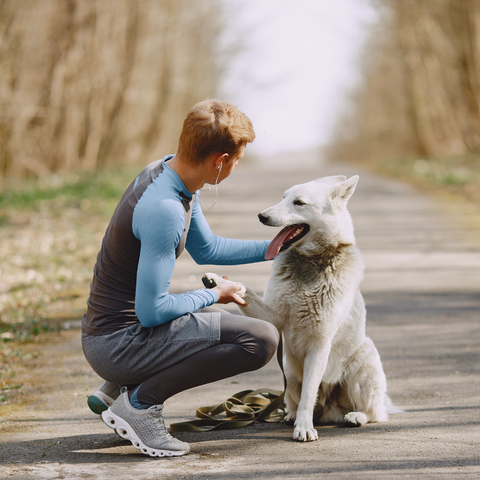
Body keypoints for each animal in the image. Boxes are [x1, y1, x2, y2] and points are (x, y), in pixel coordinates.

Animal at [204, 175, 400, 442]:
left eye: (299, 202)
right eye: (283, 197)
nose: (261, 216)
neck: (312, 262)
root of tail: (330, 409)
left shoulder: (319, 343)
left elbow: (310, 392)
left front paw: (304, 428)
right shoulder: (274, 318)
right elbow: (245, 291)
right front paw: (219, 282)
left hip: (364, 361)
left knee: (374, 412)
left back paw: (355, 417)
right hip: (289, 372)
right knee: (292, 400)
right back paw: (289, 415)